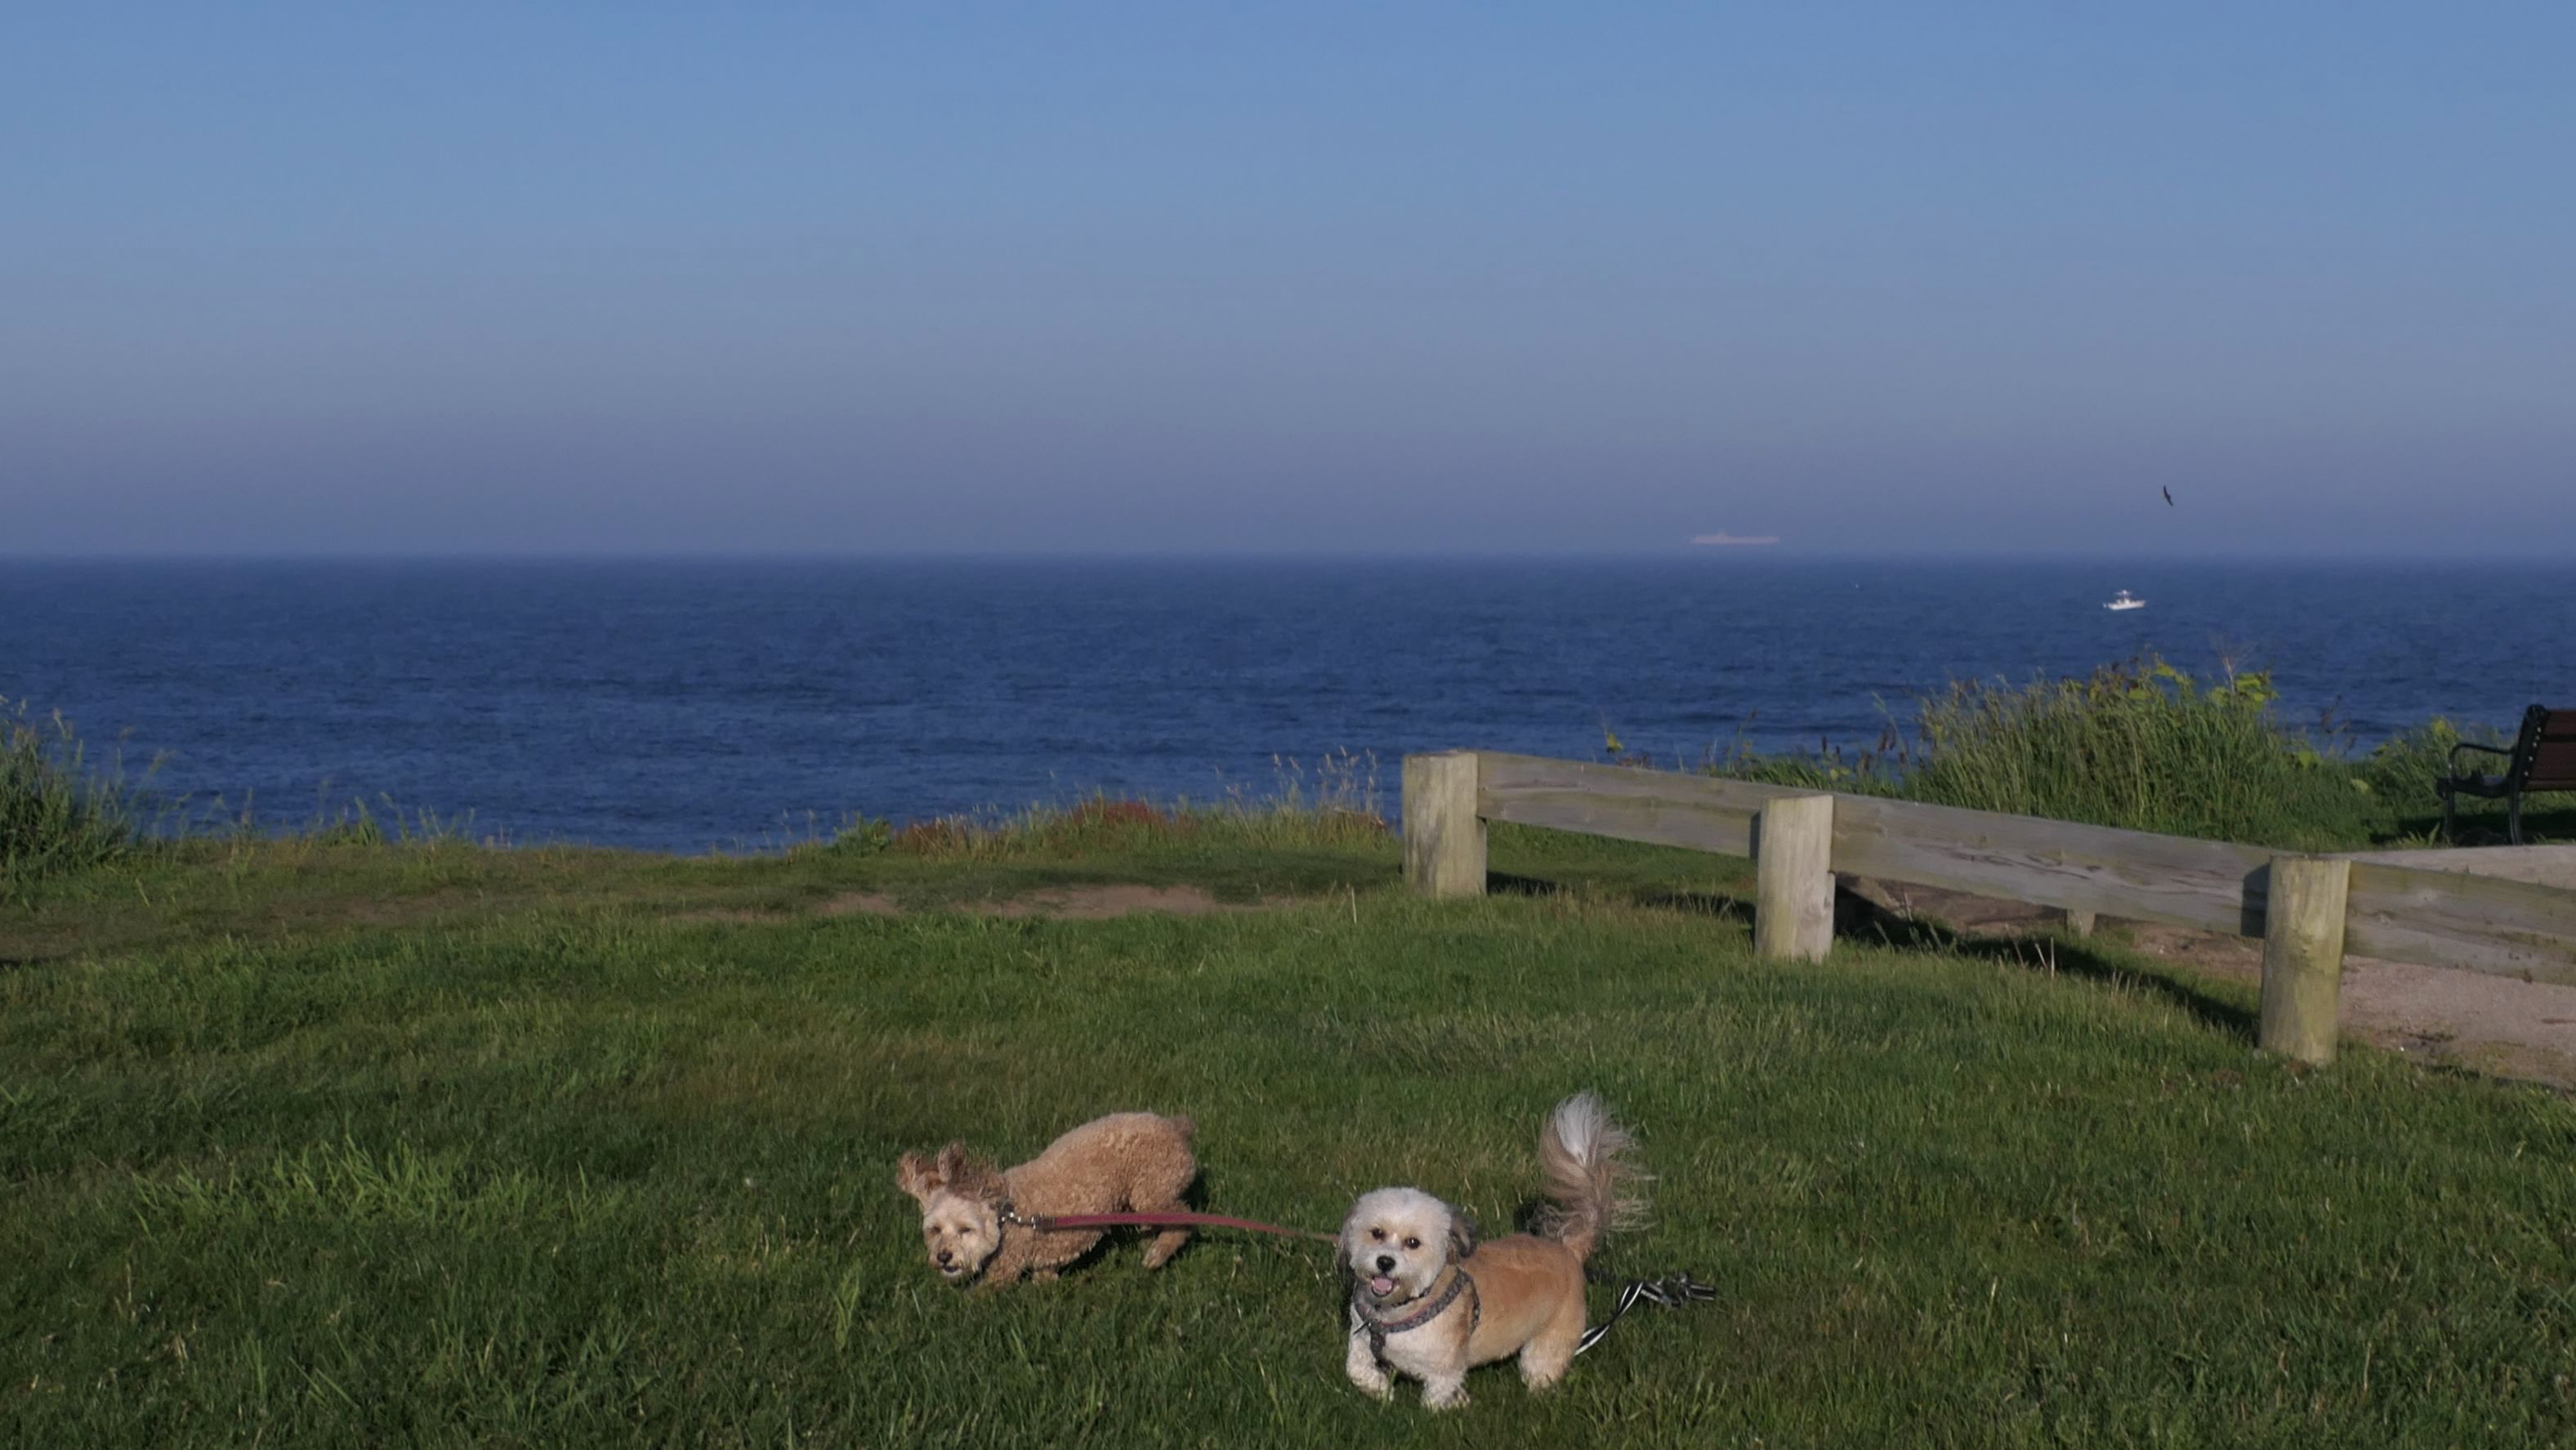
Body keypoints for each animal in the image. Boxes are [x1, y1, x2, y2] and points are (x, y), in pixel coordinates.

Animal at [896, 1111, 1197, 1286]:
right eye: (935, 1230)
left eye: (966, 1229)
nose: (943, 1256)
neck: (1005, 1214)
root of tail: (1177, 1127)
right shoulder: (1044, 1261)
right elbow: (1046, 1279)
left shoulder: (1007, 1266)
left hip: (1153, 1190)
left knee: (1185, 1217)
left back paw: (1158, 1253)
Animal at [1341, 1093, 1645, 1409]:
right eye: (1377, 1233)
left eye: (1413, 1243)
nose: (1385, 1262)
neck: (1397, 1310)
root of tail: (1568, 1250)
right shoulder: (1361, 1339)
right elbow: (1356, 1369)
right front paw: (1380, 1390)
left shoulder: (1445, 1367)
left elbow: (1436, 1396)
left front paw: (1445, 1406)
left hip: (1550, 1342)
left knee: (1542, 1368)